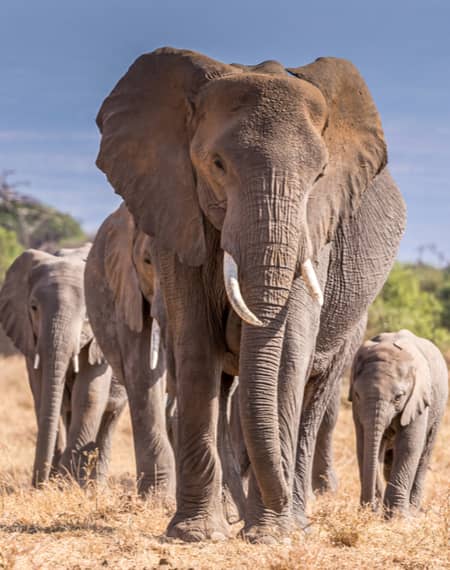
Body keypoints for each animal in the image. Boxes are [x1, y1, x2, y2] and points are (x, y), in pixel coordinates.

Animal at [0, 244, 126, 484]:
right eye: (33, 307)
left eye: (88, 314)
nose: (38, 483)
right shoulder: (30, 335)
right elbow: (42, 395)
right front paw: (55, 481)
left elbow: (88, 396)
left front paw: (65, 483)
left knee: (110, 418)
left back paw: (93, 485)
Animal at [96, 46, 406, 540]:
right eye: (217, 165)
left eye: (319, 174)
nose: (244, 522)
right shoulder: (175, 207)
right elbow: (195, 342)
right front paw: (196, 535)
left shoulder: (317, 226)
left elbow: (290, 353)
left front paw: (271, 534)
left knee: (314, 393)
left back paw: (293, 517)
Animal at [350, 324, 448, 516]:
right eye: (357, 394)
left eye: (398, 397)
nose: (369, 508)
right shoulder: (357, 408)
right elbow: (364, 444)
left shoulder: (418, 397)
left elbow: (409, 445)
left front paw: (397, 517)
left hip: (439, 407)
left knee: (424, 454)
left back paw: (413, 510)